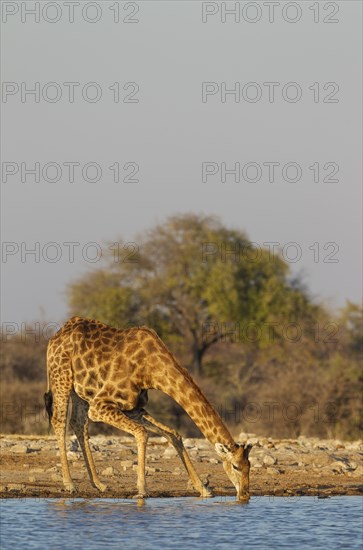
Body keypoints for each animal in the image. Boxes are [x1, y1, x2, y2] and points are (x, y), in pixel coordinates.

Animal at [44, 316, 252, 502]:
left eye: (249, 466)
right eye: (235, 466)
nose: (245, 495)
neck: (152, 371)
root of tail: (55, 337)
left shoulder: (134, 407)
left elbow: (173, 434)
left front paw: (203, 489)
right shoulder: (100, 405)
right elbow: (142, 433)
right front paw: (142, 490)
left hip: (80, 391)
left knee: (78, 423)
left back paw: (99, 484)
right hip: (61, 377)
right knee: (59, 421)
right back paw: (69, 484)